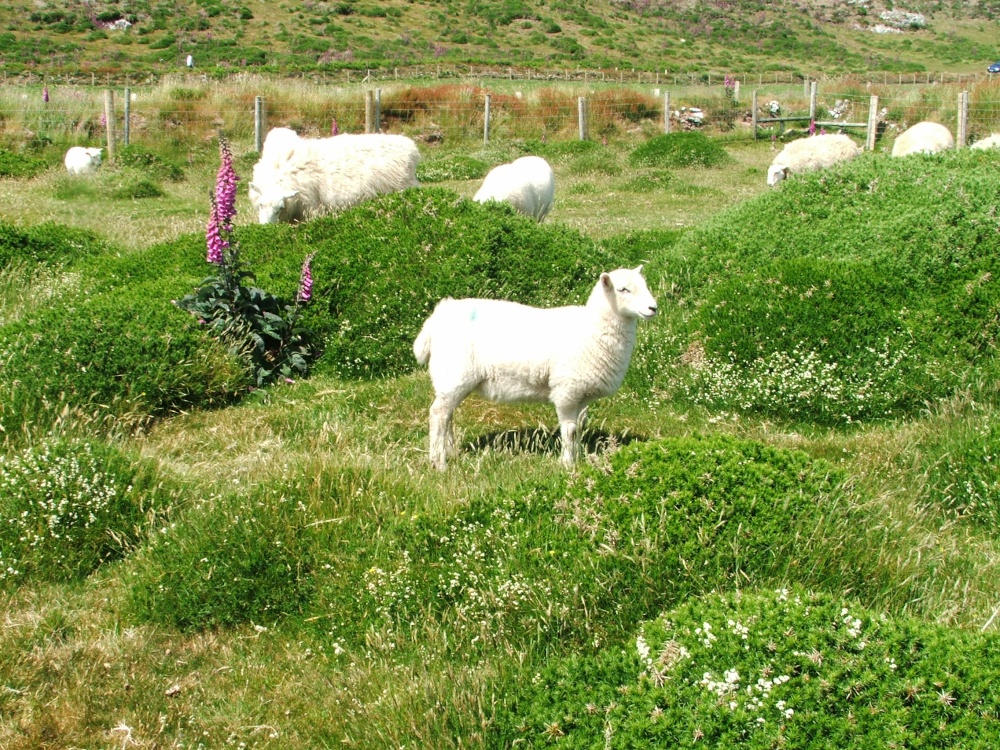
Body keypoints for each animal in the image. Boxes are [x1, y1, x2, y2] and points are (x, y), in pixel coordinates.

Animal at [412, 266, 657, 469]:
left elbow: (579, 427)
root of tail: (439, 315)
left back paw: (450, 452)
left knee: (447, 415)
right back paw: (439, 462)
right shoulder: (566, 391)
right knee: (438, 414)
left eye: (644, 285)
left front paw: (578, 458)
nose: (653, 308)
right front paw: (567, 464)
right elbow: (569, 430)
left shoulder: (581, 396)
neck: (593, 329)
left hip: (452, 379)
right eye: (623, 289)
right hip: (454, 374)